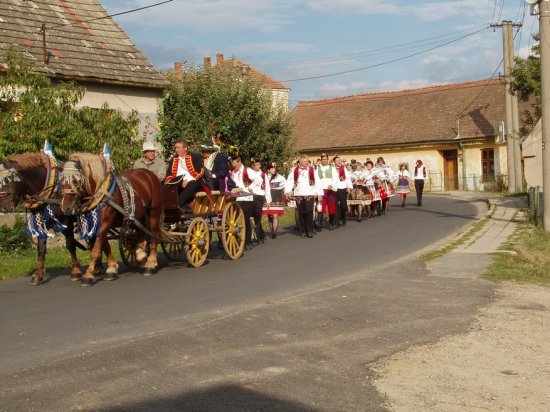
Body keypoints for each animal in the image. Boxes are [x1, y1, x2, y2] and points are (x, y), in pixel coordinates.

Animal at [0, 153, 83, 284]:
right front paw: (38, 274)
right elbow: (41, 248)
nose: (3, 207)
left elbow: (70, 245)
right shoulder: (40, 222)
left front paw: (76, 271)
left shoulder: (67, 220)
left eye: (8, 180)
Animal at [60, 153, 165, 284]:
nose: (66, 208)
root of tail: (150, 174)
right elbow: (105, 246)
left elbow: (95, 250)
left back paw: (150, 264)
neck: (102, 194)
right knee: (142, 232)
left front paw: (88, 275)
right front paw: (111, 269)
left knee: (154, 234)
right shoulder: (98, 225)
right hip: (137, 215)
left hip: (154, 212)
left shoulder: (104, 223)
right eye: (61, 181)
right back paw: (140, 254)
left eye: (75, 180)